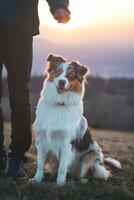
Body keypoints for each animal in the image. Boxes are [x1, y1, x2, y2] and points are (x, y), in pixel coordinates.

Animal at [30, 54, 122, 185]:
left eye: (71, 76)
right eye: (58, 72)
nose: (61, 81)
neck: (60, 103)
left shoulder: (66, 143)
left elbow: (62, 167)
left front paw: (60, 184)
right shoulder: (41, 140)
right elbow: (40, 164)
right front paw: (37, 179)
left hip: (91, 154)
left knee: (88, 173)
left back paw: (82, 180)